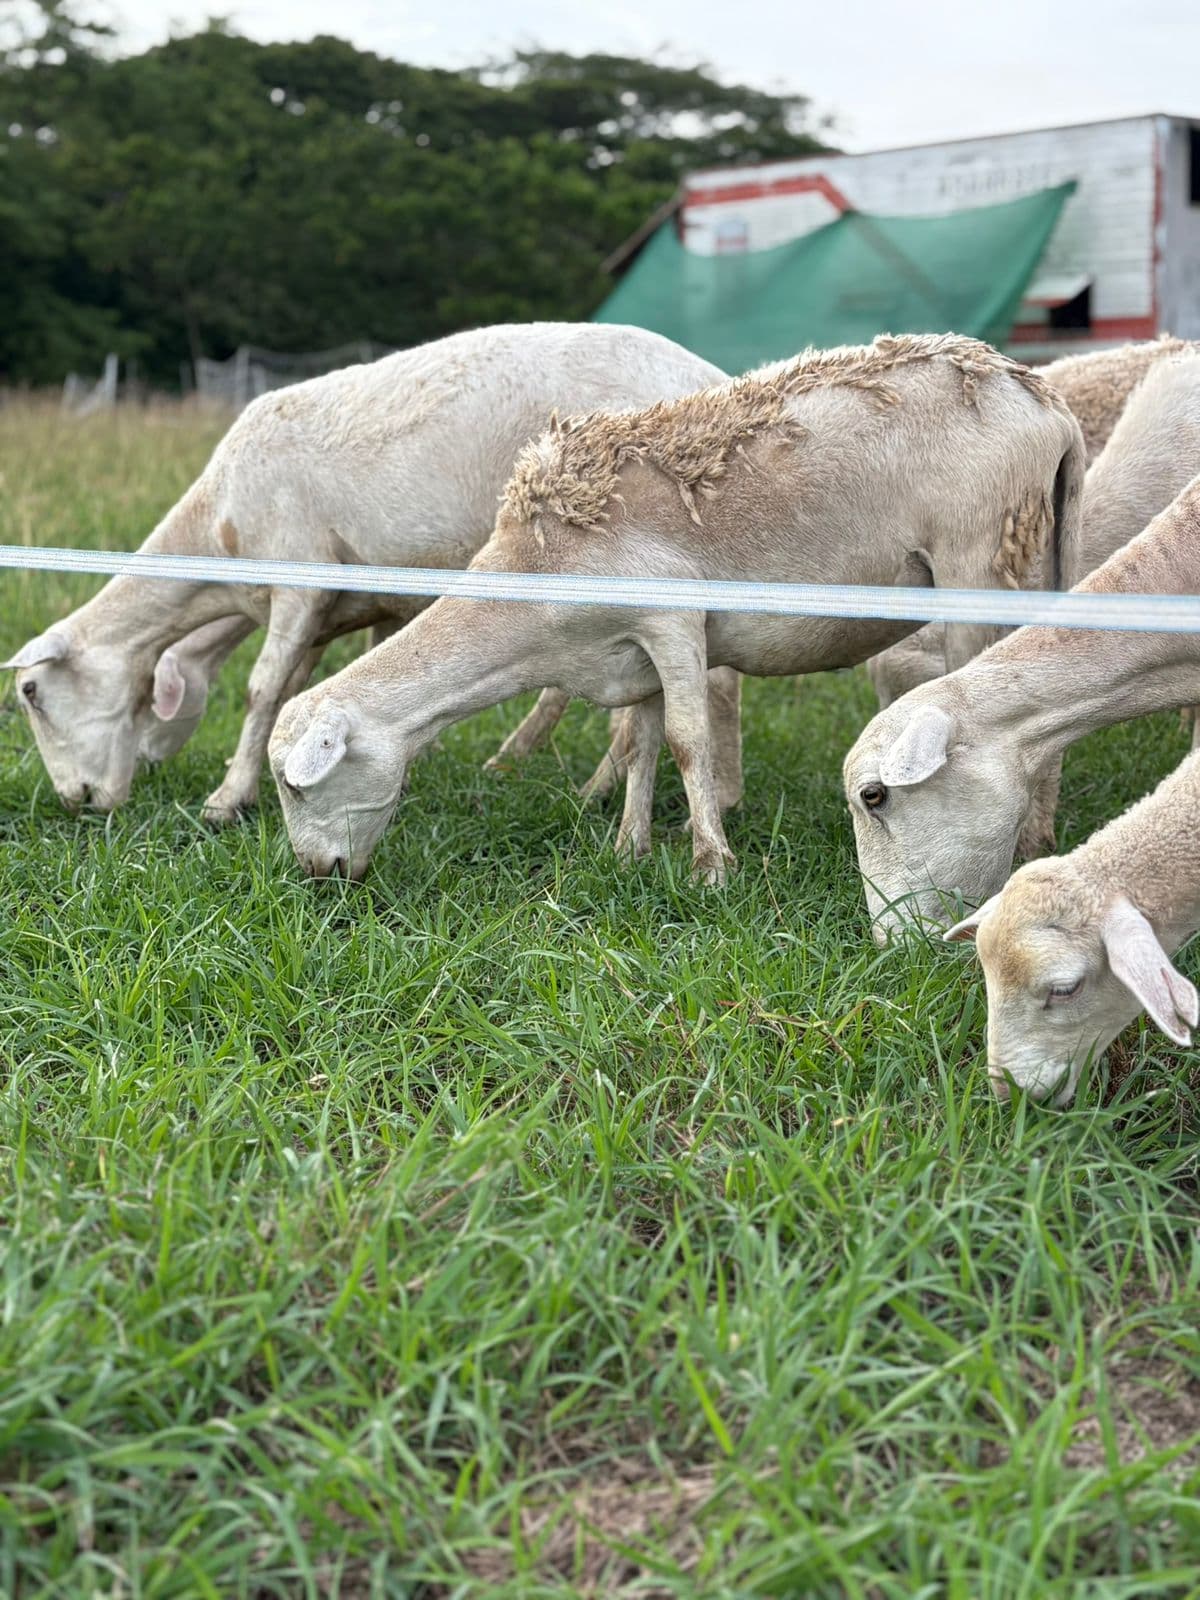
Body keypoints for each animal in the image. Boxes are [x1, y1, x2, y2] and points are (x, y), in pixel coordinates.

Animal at [4, 323, 725, 820]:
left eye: (31, 693)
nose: (75, 800)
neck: (218, 533)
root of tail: (708, 372)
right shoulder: (337, 608)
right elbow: (299, 685)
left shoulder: (299, 574)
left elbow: (261, 688)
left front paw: (226, 800)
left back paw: (602, 786)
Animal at [266, 331, 1084, 885]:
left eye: (293, 785)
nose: (317, 874)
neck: (534, 591)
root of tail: (1042, 401)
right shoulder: (632, 650)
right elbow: (642, 743)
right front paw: (628, 849)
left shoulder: (675, 624)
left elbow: (689, 742)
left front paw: (710, 865)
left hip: (985, 560)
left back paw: (1028, 845)